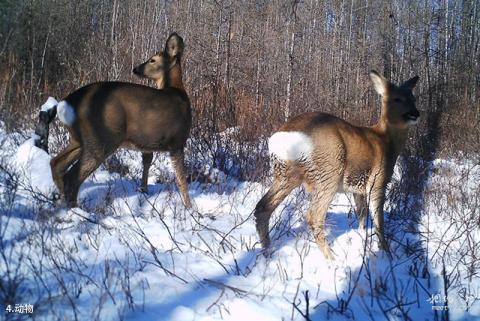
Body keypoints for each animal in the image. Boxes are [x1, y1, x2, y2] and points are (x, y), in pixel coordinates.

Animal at [35, 33, 191, 208]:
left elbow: (147, 163)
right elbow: (181, 179)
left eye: (152, 60)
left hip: (79, 138)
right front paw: (190, 208)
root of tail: (65, 103)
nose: (136, 69)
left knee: (56, 163)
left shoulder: (147, 143)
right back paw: (74, 209)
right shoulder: (177, 141)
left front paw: (143, 192)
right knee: (72, 176)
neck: (178, 91)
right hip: (102, 137)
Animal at [255, 70, 420, 258]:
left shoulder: (357, 189)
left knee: (262, 207)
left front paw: (362, 237)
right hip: (329, 170)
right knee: (313, 215)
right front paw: (386, 252)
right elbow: (379, 222)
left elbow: (361, 215)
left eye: (414, 98)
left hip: (285, 173)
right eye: (397, 99)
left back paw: (267, 251)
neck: (386, 141)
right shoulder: (378, 181)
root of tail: (283, 137)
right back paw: (332, 259)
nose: (415, 113)